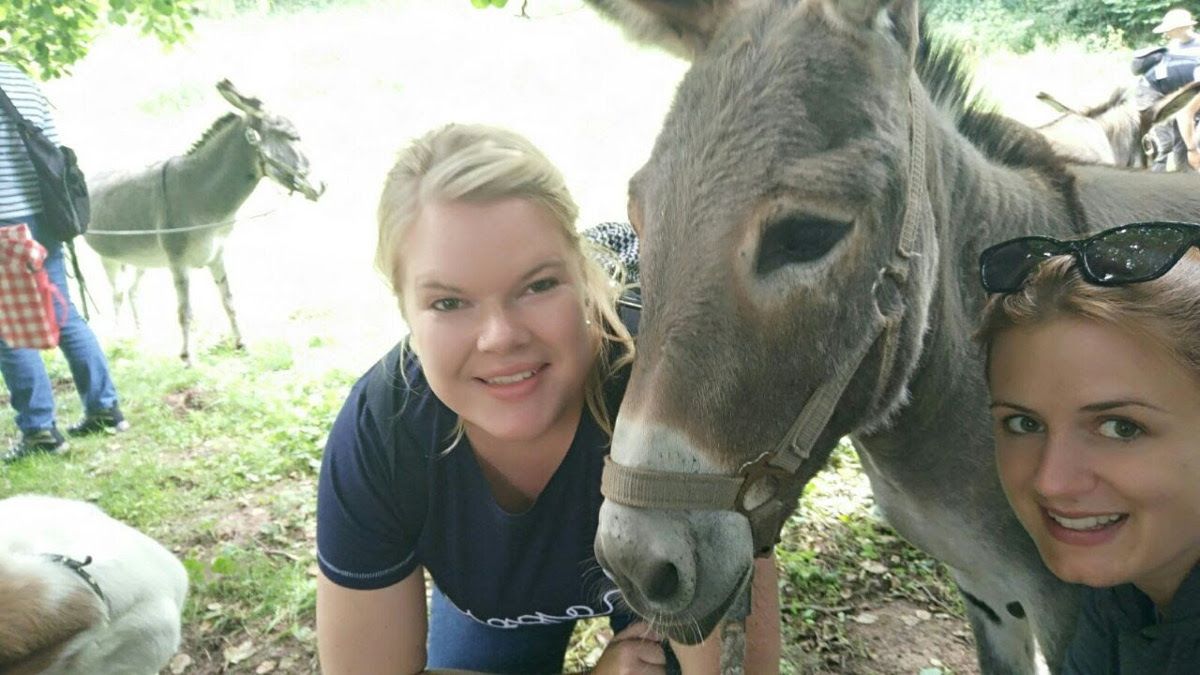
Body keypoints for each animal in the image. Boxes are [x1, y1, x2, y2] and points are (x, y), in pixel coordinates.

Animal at [84, 80, 324, 364]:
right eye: (291, 136)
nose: (321, 186)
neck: (199, 193)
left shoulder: (217, 254)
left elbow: (228, 300)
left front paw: (242, 344)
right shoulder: (178, 263)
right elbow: (185, 310)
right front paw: (188, 357)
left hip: (139, 259)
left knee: (132, 290)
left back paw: (140, 336)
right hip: (108, 258)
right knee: (118, 294)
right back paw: (119, 339)